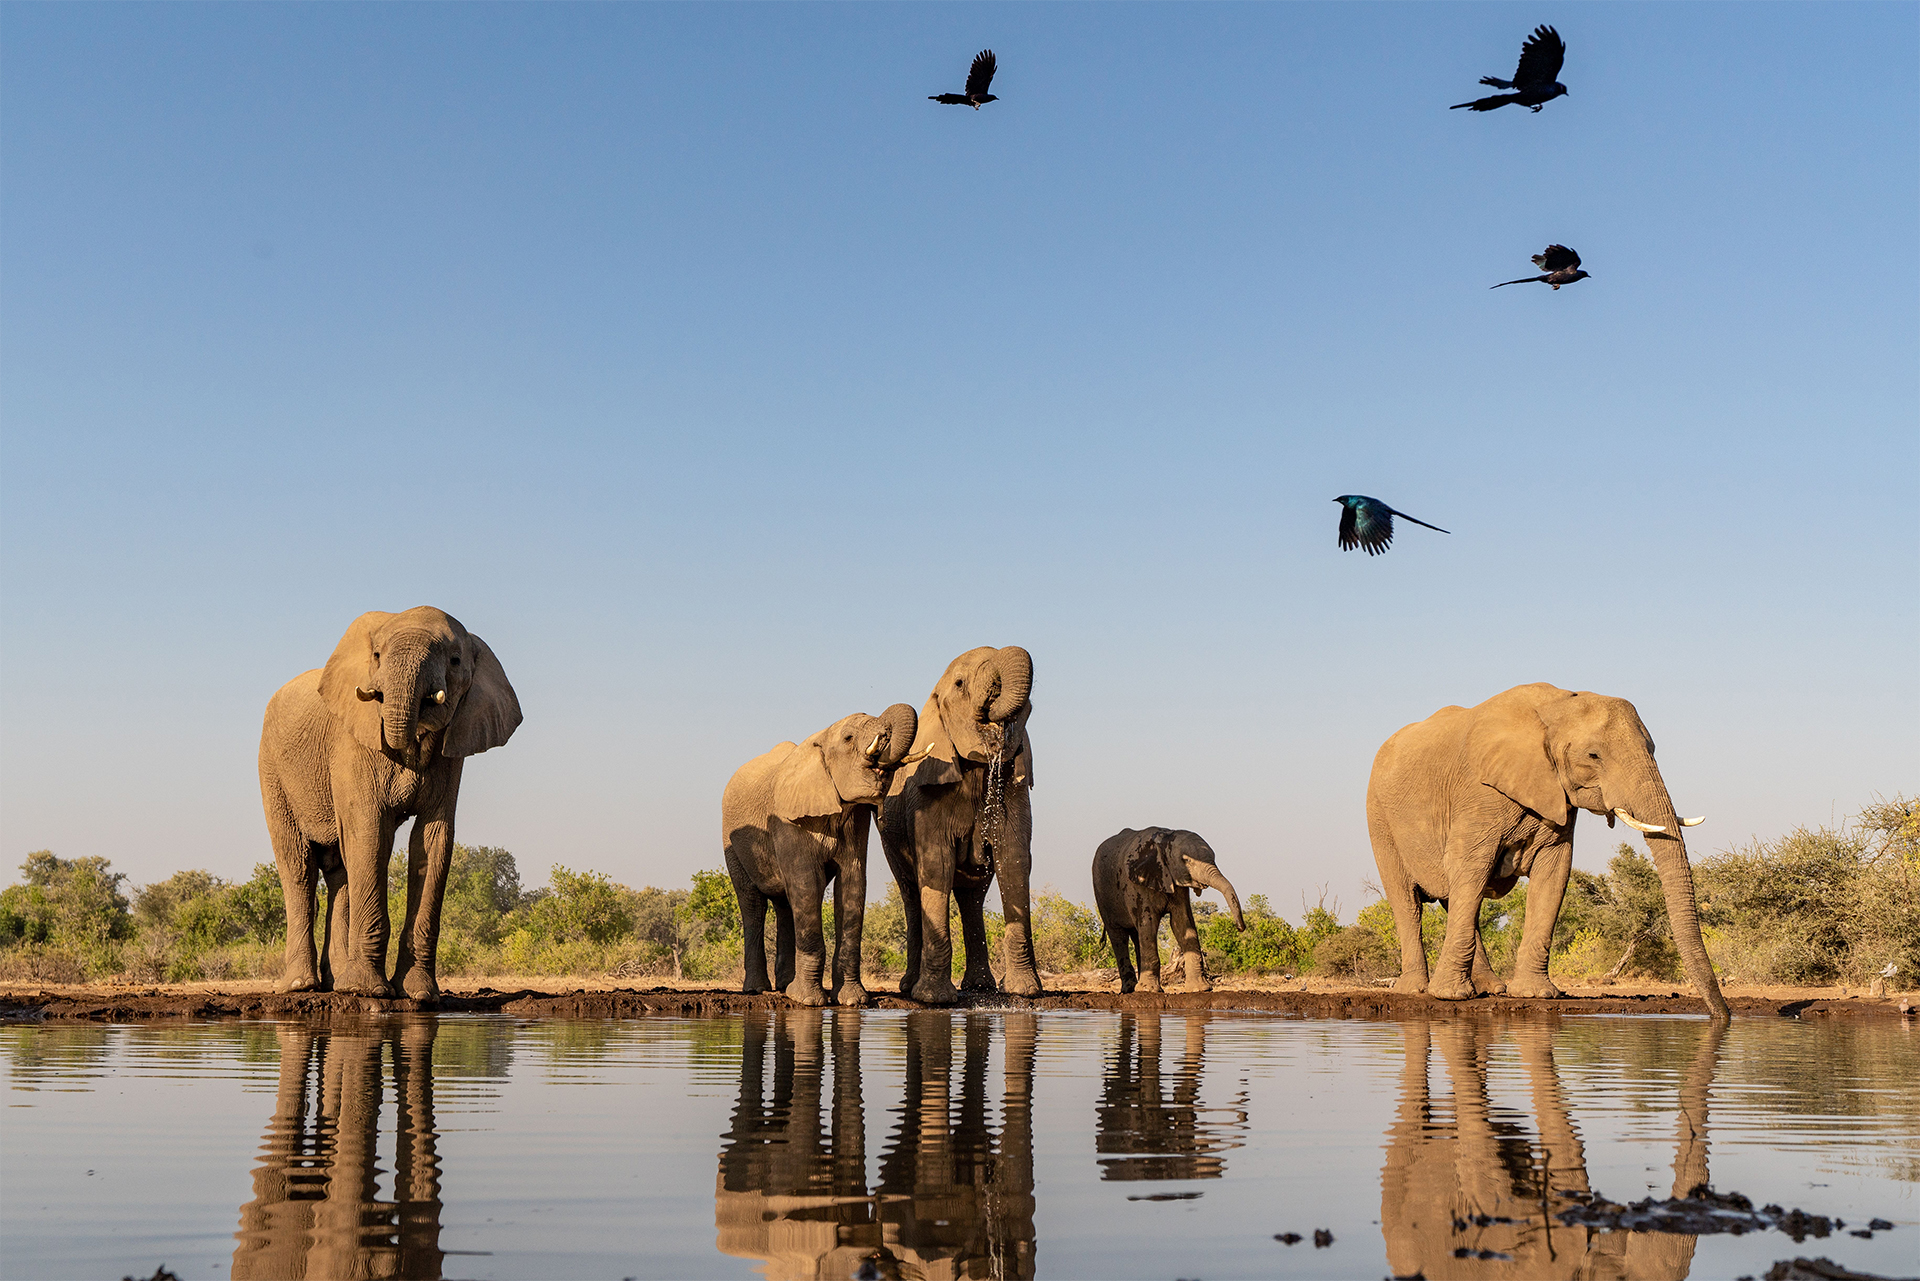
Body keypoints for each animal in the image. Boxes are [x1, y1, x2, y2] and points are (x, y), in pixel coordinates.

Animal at [258, 607, 521, 998]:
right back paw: (302, 986)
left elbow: (432, 840)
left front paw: (418, 994)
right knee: (299, 867)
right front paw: (368, 992)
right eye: (378, 656)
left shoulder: (451, 755)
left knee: (341, 873)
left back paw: (337, 984)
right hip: (273, 771)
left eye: (455, 661)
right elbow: (370, 832)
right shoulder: (353, 744)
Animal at [721, 703, 919, 1006]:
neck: (822, 736)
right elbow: (806, 883)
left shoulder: (856, 820)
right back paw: (757, 990)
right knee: (753, 903)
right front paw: (809, 1002)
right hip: (731, 840)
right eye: (849, 738)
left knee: (785, 904)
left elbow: (852, 885)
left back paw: (784, 986)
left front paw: (852, 1001)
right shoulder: (787, 819)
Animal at [879, 645, 1039, 1005]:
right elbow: (936, 866)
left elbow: (1014, 860)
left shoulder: (1014, 789)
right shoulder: (927, 799)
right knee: (911, 894)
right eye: (960, 684)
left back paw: (980, 988)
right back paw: (910, 988)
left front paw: (1025, 993)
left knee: (972, 897)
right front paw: (934, 999)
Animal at [1092, 828, 1246, 994]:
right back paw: (1130, 989)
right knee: (1119, 936)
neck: (1165, 836)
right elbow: (1149, 924)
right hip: (1102, 893)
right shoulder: (1139, 885)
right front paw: (1149, 990)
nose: (1240, 927)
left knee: (1136, 935)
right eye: (1187, 861)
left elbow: (1182, 922)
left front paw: (1200, 989)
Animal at [1366, 683, 1729, 1019]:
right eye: (1593, 756)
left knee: (1455, 899)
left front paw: (1535, 994)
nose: (1721, 1015)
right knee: (1408, 901)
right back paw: (1417, 989)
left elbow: (1553, 873)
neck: (1557, 705)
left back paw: (1491, 988)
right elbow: (1471, 867)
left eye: (1652, 749)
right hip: (1379, 817)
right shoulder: (1479, 793)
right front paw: (1450, 997)